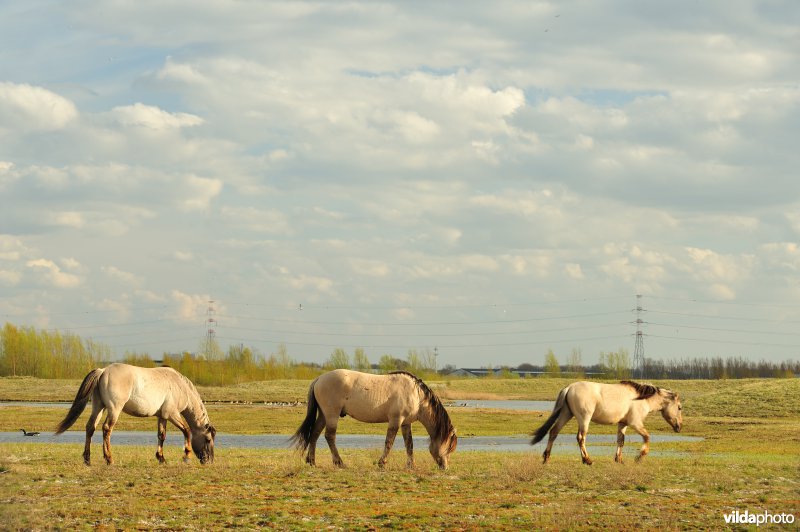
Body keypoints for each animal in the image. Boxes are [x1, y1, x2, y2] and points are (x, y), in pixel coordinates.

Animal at [54, 362, 217, 466]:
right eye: (208, 439)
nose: (209, 461)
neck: (180, 386)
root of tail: (103, 371)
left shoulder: (162, 416)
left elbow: (161, 436)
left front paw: (161, 458)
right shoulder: (172, 414)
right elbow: (187, 430)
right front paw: (186, 455)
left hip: (98, 407)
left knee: (90, 428)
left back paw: (87, 460)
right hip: (114, 409)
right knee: (106, 429)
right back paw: (109, 459)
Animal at [292, 370, 456, 470]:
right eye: (449, 447)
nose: (445, 467)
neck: (415, 394)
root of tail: (319, 378)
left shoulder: (406, 423)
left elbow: (409, 444)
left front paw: (411, 465)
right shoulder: (396, 420)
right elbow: (389, 442)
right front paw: (382, 463)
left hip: (323, 414)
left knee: (315, 434)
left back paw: (312, 461)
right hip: (332, 414)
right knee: (329, 436)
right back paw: (339, 462)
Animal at [532, 380, 680, 464]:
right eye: (679, 407)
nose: (679, 427)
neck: (642, 398)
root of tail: (569, 388)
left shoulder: (623, 424)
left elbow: (621, 441)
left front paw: (619, 460)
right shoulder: (635, 423)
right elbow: (647, 437)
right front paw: (639, 457)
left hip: (566, 414)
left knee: (553, 432)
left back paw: (546, 458)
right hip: (584, 418)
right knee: (581, 438)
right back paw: (587, 460)